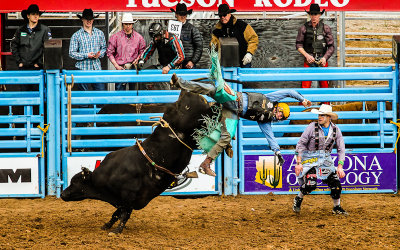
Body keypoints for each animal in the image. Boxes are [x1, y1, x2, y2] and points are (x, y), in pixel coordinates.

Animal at [60, 91, 212, 233]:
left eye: (74, 182)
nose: (62, 194)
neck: (107, 175)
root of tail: (185, 95)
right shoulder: (120, 200)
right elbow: (116, 214)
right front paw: (107, 225)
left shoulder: (128, 196)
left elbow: (124, 215)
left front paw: (116, 230)